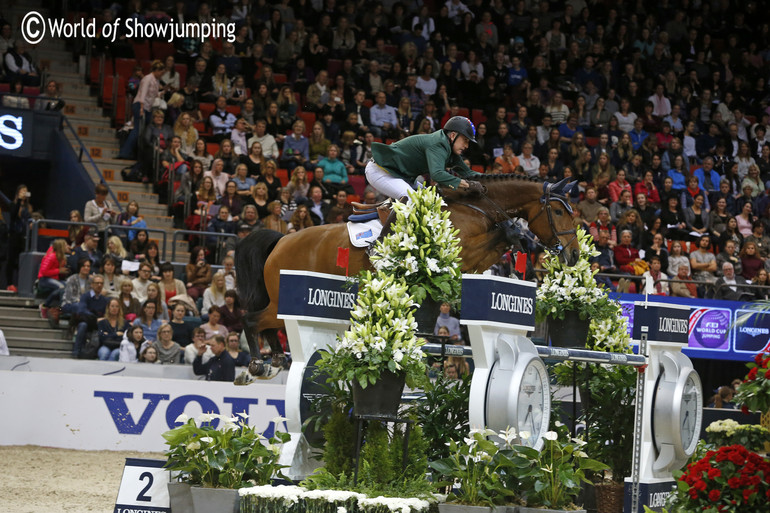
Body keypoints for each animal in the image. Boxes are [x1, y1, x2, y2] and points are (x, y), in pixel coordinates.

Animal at [236, 176, 576, 376]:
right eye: (559, 212)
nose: (572, 255)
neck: (475, 208)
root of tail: (281, 240)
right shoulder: (462, 252)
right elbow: (498, 236)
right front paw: (515, 232)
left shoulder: (472, 263)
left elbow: (499, 244)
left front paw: (521, 242)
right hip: (283, 299)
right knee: (252, 320)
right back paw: (256, 363)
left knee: (267, 323)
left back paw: (275, 358)